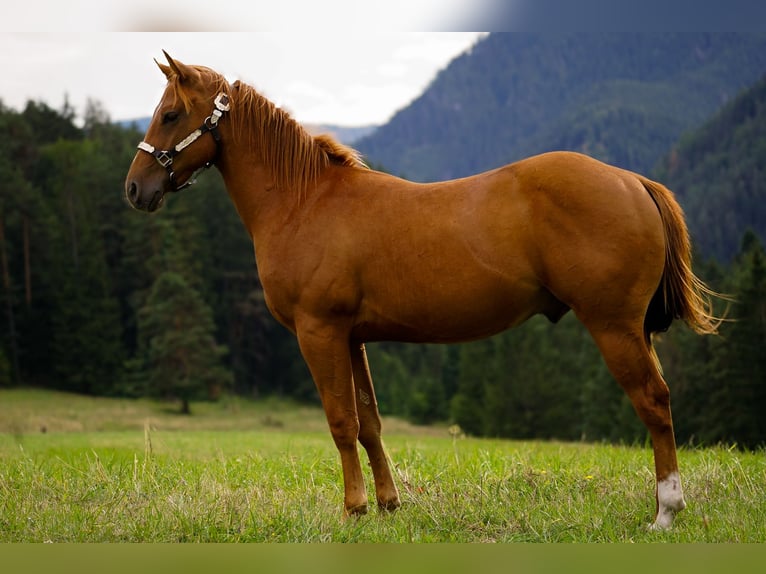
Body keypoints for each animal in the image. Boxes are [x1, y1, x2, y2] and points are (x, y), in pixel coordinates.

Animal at [125, 51, 721, 530]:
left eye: (171, 114)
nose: (134, 189)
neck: (305, 200)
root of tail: (631, 180)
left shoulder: (319, 332)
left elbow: (341, 422)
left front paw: (354, 510)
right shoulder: (352, 338)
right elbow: (369, 423)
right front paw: (388, 504)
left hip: (614, 327)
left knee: (654, 402)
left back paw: (666, 513)